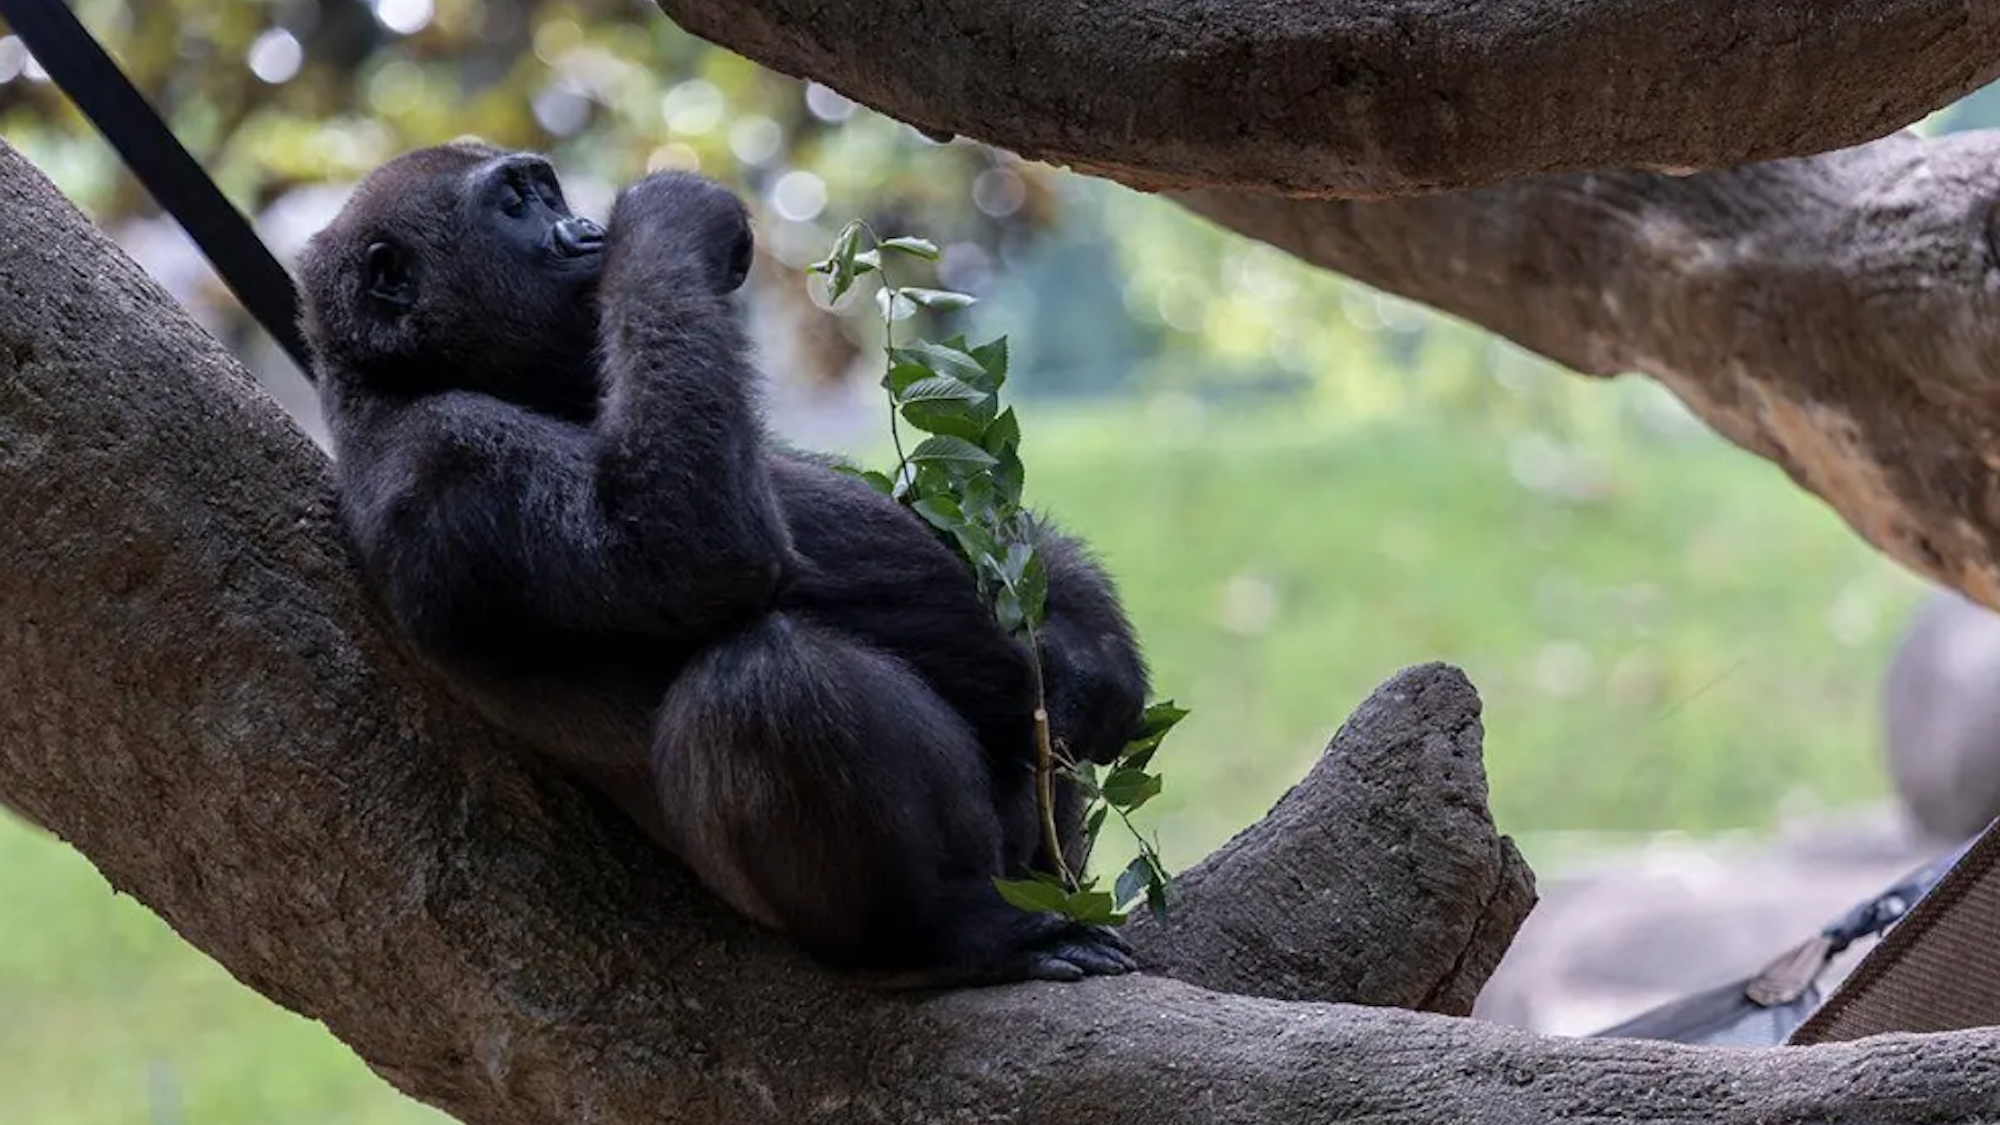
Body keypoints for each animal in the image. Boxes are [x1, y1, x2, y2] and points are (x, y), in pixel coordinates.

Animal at [290, 140, 1152, 980]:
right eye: (513, 205)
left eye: (548, 193)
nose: (585, 233)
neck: (399, 375)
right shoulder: (448, 460)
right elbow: (683, 550)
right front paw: (670, 214)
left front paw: (1091, 657)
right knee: (764, 679)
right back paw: (933, 928)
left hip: (1047, 866)